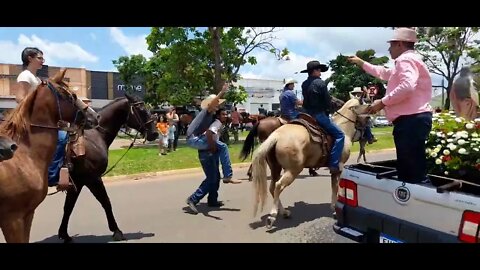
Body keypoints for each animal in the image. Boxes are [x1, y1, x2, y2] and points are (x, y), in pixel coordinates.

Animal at [57, 93, 159, 243]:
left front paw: (64, 234)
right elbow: (106, 202)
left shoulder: (77, 182)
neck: (95, 136)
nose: (155, 133)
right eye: (141, 109)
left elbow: (68, 207)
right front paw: (116, 230)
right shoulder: (92, 179)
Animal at [249, 98, 370, 229]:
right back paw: (272, 216)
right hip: (293, 170)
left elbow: (334, 187)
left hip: (276, 168)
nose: (369, 137)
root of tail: (277, 135)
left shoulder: (334, 170)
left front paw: (333, 207)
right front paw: (335, 210)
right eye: (368, 115)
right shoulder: (339, 166)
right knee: (278, 186)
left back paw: (284, 212)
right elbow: (337, 187)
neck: (343, 128)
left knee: (272, 187)